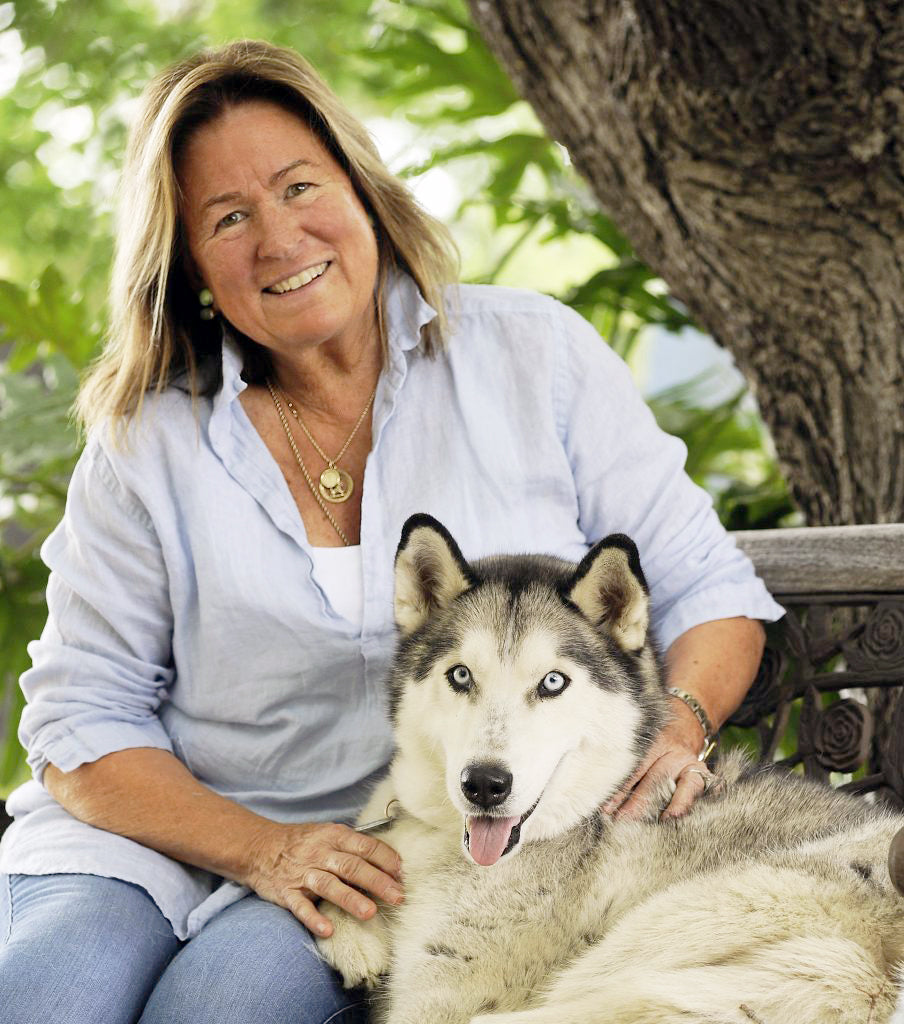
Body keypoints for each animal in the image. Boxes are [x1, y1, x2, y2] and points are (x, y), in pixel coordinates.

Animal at [317, 516, 904, 1024]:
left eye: (553, 682)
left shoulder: (440, 1002)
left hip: (674, 921)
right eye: (460, 675)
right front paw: (350, 926)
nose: (484, 785)